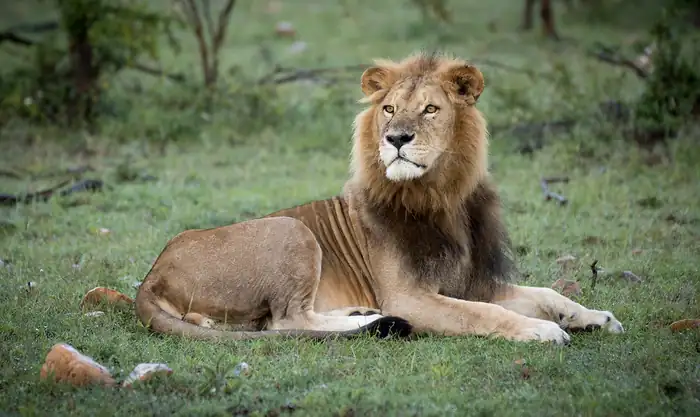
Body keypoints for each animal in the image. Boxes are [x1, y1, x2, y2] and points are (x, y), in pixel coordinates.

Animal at [134, 51, 624, 344]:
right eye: (389, 109)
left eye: (430, 109)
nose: (397, 138)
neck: (443, 197)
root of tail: (151, 276)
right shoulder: (410, 298)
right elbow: (483, 315)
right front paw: (542, 330)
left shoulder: (473, 284)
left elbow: (546, 292)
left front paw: (596, 317)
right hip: (292, 230)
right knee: (288, 320)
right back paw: (374, 321)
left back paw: (362, 312)